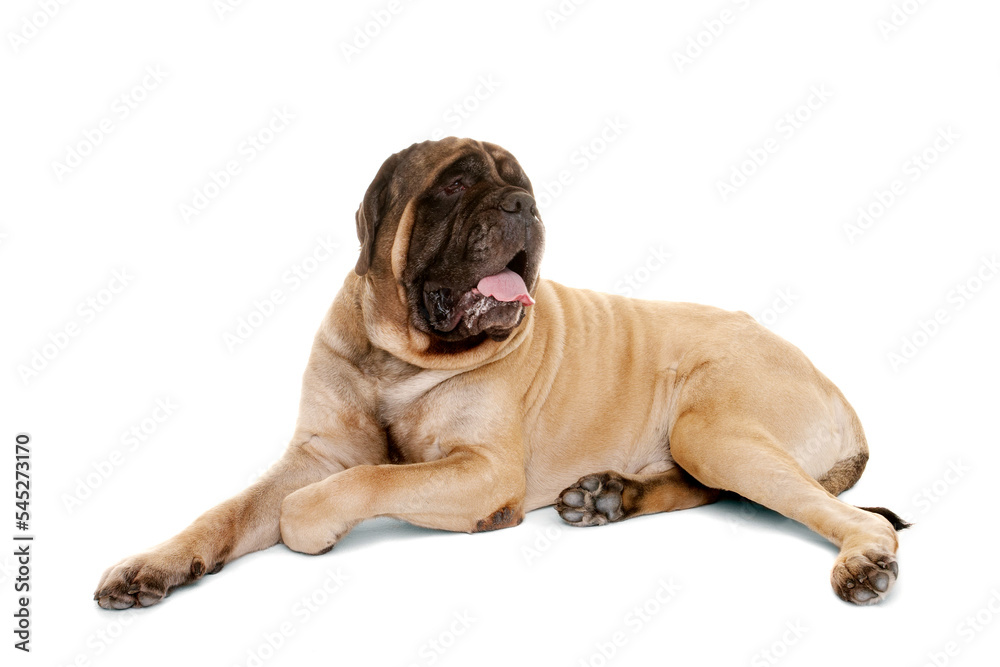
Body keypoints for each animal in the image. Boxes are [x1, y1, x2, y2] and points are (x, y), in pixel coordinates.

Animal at [97, 136, 912, 612]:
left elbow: (364, 482)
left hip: (714, 427)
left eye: (524, 186)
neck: (398, 357)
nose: (525, 205)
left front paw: (318, 522)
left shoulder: (480, 467)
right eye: (456, 185)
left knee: (851, 515)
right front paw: (152, 565)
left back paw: (862, 563)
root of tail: (841, 393)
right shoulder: (313, 455)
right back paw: (607, 496)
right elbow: (229, 511)